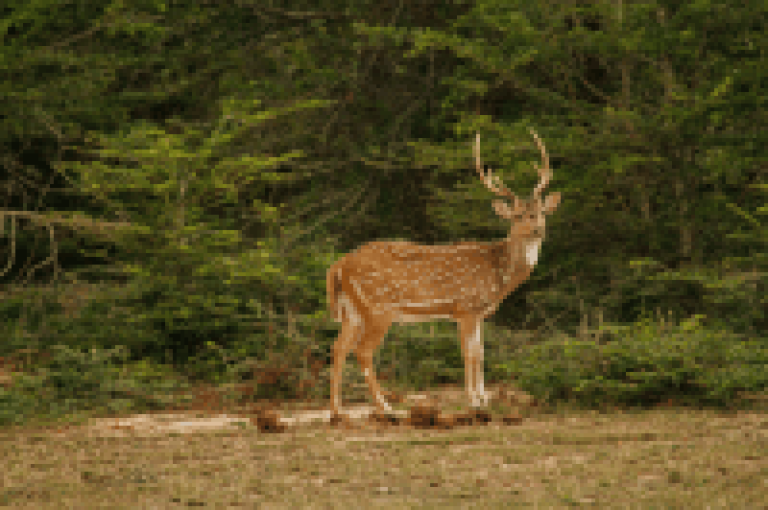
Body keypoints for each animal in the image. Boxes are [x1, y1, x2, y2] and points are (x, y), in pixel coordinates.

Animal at [328, 129, 560, 416]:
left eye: (540, 213)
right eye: (517, 216)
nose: (538, 229)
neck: (498, 275)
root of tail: (339, 265)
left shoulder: (479, 313)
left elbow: (481, 352)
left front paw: (484, 399)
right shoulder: (465, 307)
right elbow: (469, 353)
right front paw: (474, 401)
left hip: (351, 310)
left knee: (338, 347)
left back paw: (337, 410)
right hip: (378, 307)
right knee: (362, 350)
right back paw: (386, 407)